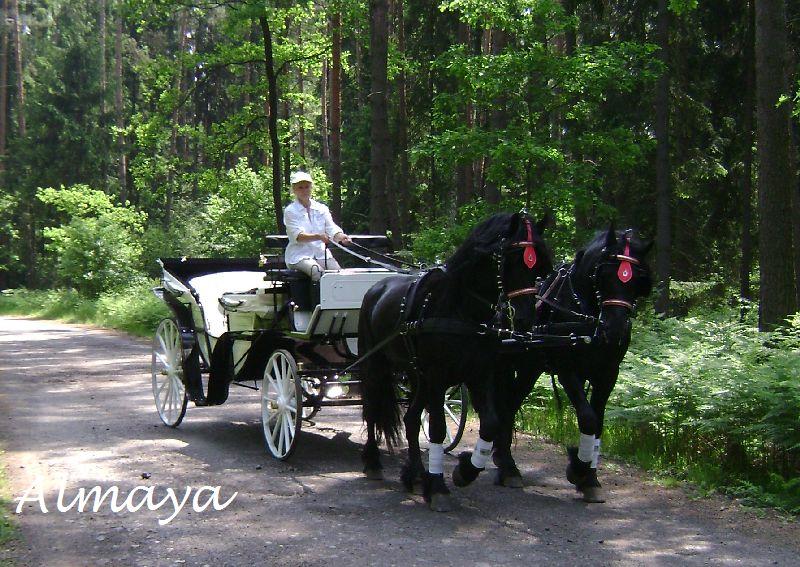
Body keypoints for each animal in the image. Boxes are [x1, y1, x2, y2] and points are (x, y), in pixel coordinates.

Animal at [360, 212, 552, 510]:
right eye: (509, 259)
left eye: (538, 264)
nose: (524, 318)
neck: (462, 310)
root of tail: (376, 288)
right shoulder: (437, 376)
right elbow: (438, 429)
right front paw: (439, 487)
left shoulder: (479, 374)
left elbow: (491, 423)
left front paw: (465, 470)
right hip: (376, 366)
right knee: (372, 409)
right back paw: (373, 463)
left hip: (417, 376)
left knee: (411, 419)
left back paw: (416, 474)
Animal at [484, 229, 652, 504]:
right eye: (604, 275)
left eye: (636, 279)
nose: (615, 330)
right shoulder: (566, 369)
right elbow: (588, 418)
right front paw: (579, 469)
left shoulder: (608, 374)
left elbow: (598, 423)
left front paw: (590, 477)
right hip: (501, 363)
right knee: (504, 404)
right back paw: (507, 467)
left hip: (530, 368)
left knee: (510, 403)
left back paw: (505, 461)